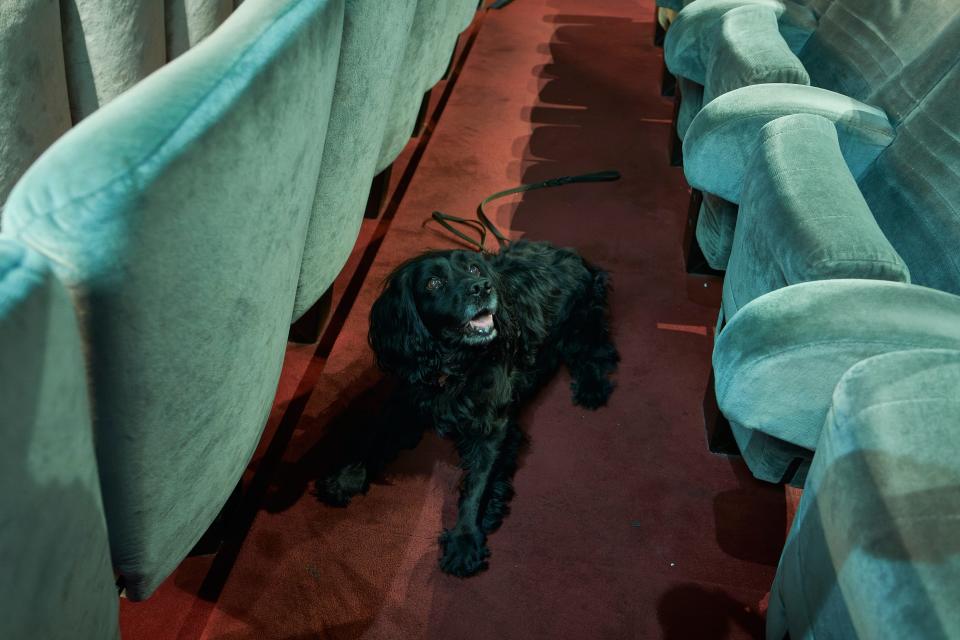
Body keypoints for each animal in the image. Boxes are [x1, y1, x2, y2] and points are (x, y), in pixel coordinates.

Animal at [318, 239, 620, 576]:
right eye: (433, 283)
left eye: (474, 269)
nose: (482, 287)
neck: (455, 367)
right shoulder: (407, 401)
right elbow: (373, 437)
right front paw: (347, 477)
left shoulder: (492, 428)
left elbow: (478, 484)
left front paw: (465, 540)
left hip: (583, 322)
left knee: (596, 352)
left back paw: (591, 388)